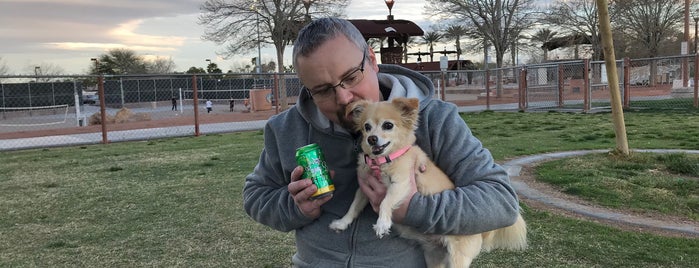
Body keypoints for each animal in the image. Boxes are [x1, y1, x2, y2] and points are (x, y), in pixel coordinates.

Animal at [330, 98, 528, 268]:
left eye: (388, 125)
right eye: (367, 127)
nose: (371, 139)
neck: (382, 162)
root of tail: (481, 231)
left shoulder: (401, 184)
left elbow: (386, 201)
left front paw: (382, 223)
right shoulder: (364, 189)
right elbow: (353, 207)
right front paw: (342, 223)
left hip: (457, 258)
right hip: (433, 257)